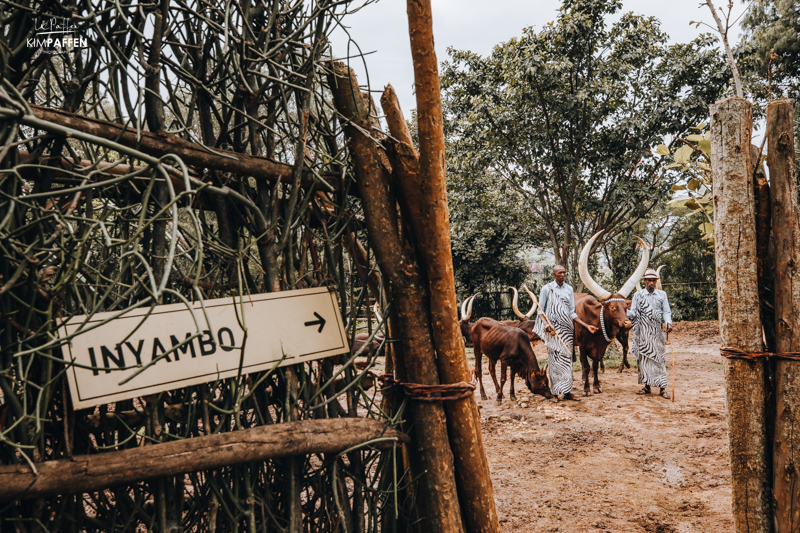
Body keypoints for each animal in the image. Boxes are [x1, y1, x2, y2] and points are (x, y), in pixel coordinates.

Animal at [576, 230, 648, 394]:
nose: (627, 324)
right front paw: (587, 388)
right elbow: (586, 366)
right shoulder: (582, 347)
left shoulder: (601, 347)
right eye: (613, 308)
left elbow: (595, 366)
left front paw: (597, 386)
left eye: (625, 308)